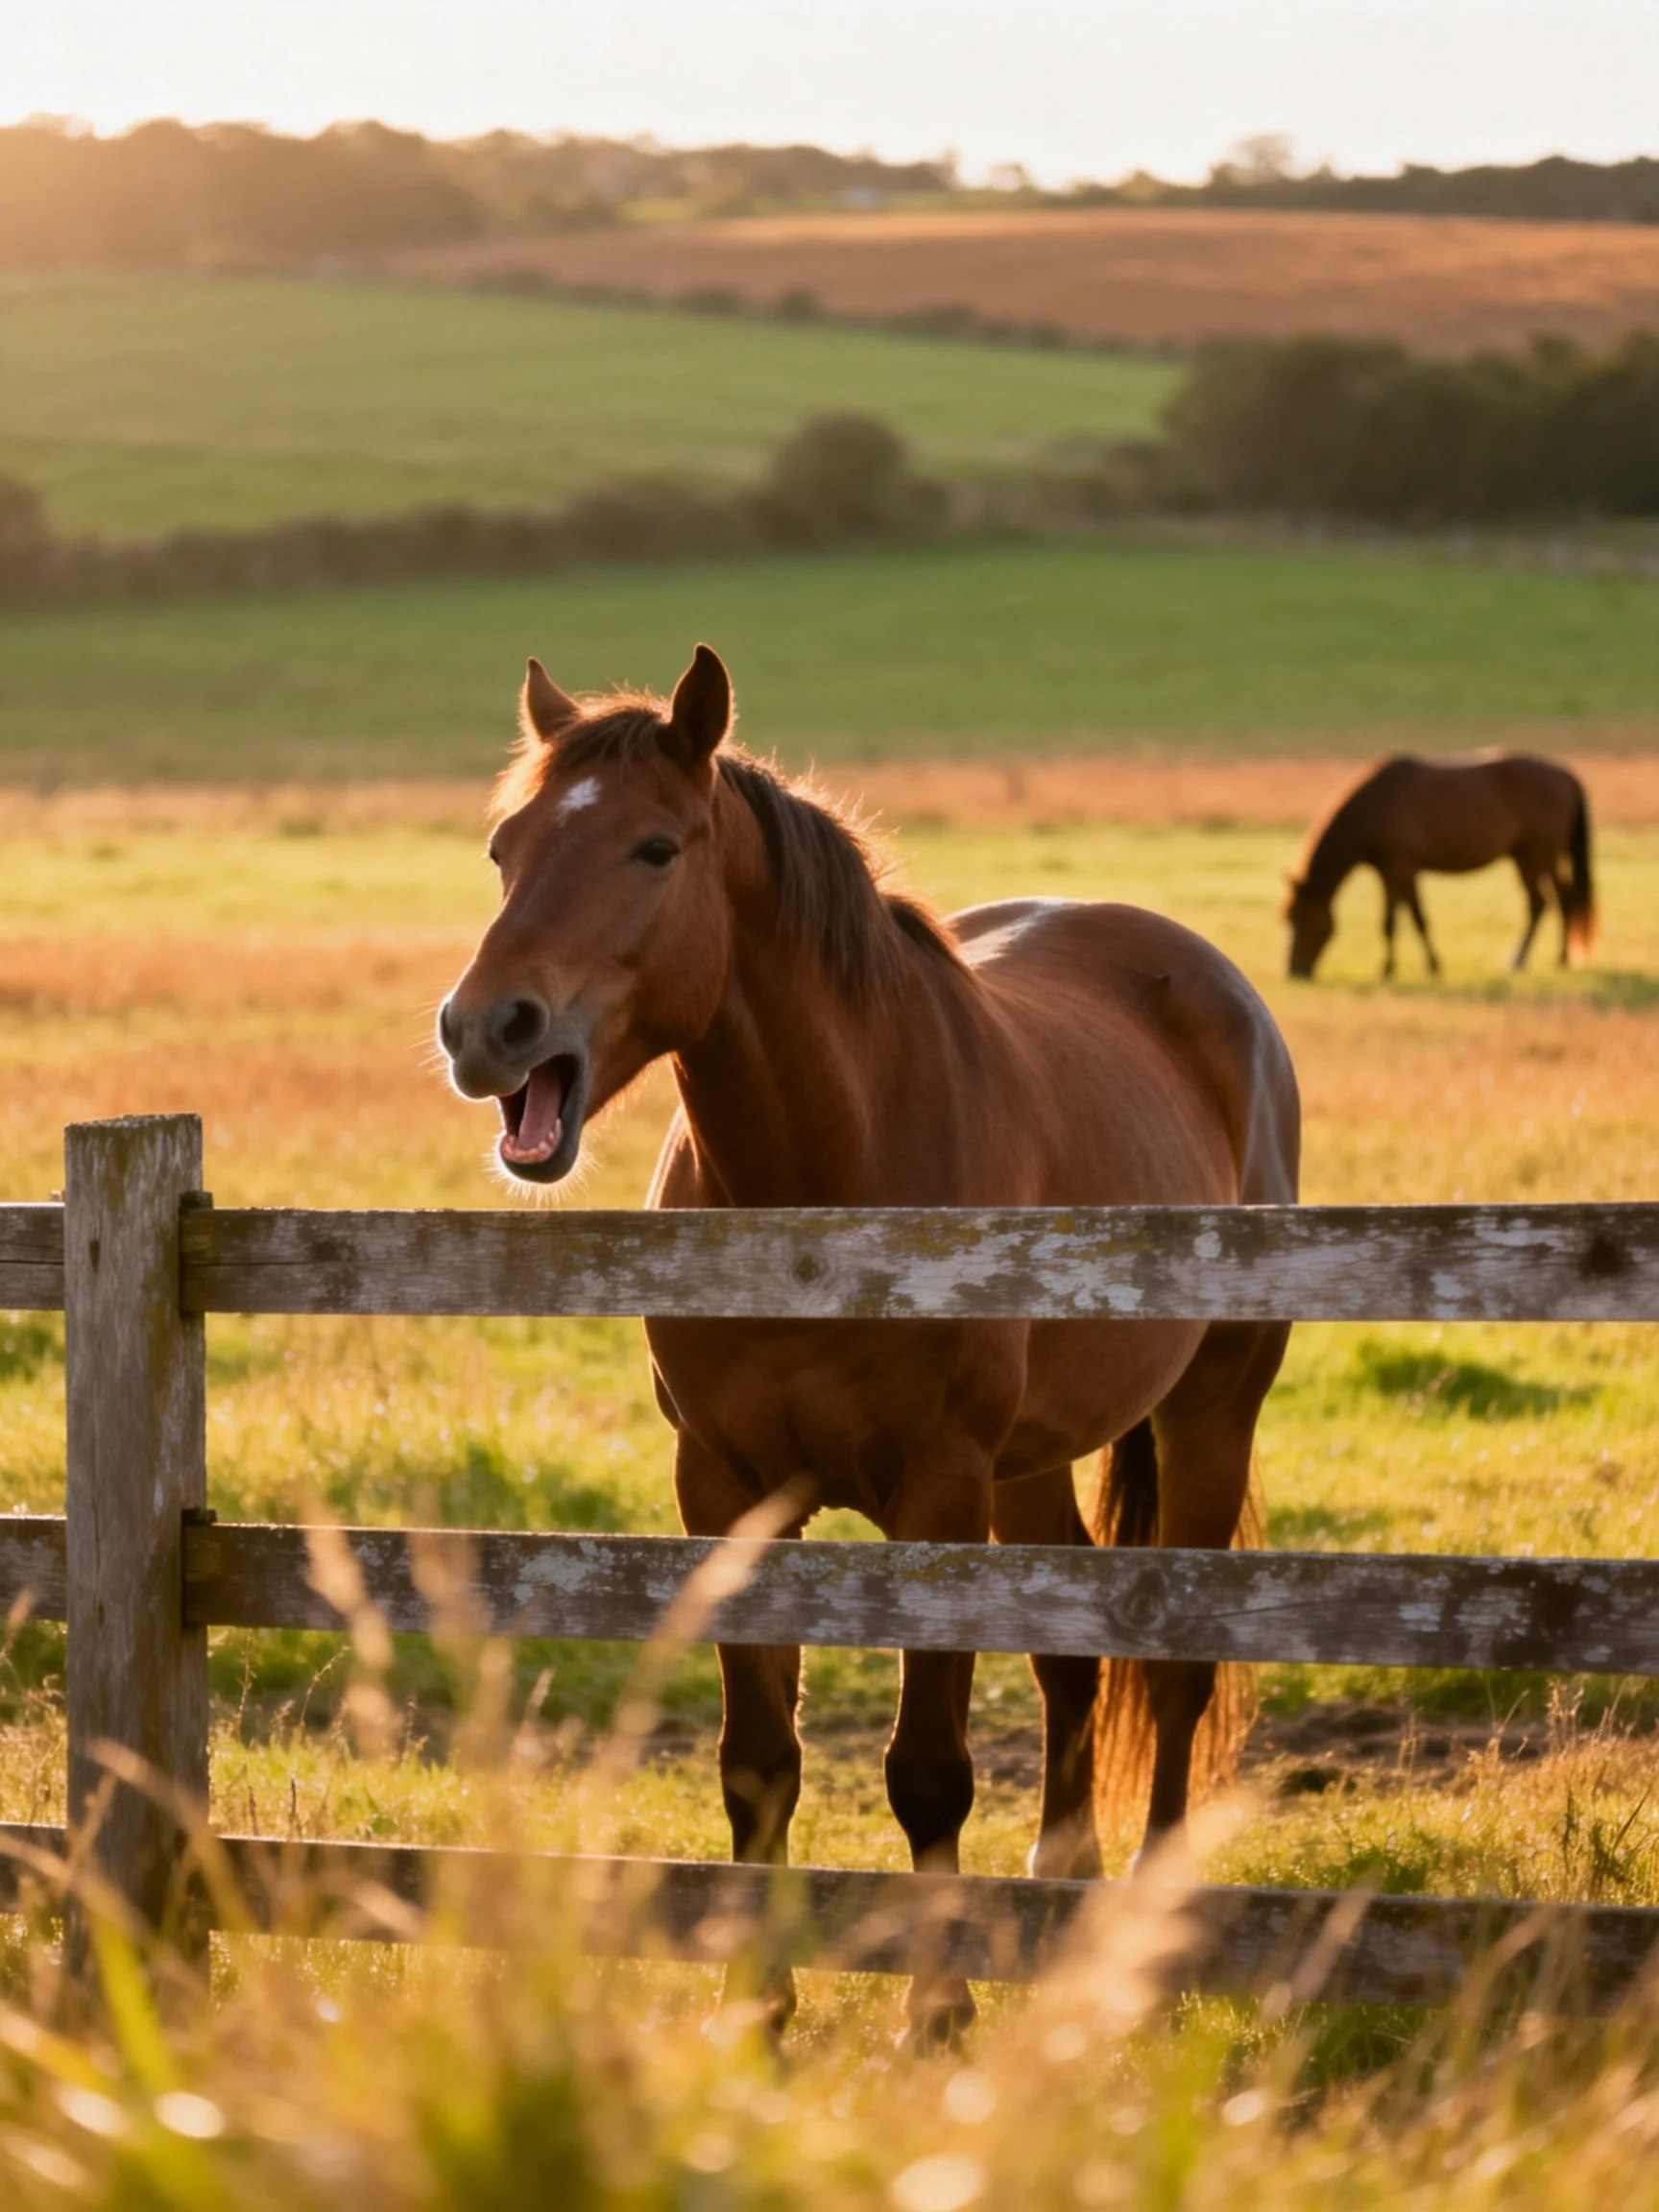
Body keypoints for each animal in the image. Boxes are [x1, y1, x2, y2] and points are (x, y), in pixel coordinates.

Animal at [438, 645, 1301, 2046]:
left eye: (654, 849)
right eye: (506, 849)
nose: (484, 1030)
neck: (826, 1187)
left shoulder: (936, 1490)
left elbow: (928, 1771)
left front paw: (937, 2012)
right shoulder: (726, 1488)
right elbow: (757, 1763)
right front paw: (755, 2002)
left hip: (1210, 1408)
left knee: (1174, 1669)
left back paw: (1143, 1934)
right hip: (1032, 1461)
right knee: (1070, 1655)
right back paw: (1057, 1891)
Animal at [1285, 752, 1595, 982]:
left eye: (1301, 918)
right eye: (1286, 918)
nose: (1293, 971)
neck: (1374, 807)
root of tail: (1567, 776)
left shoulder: (1402, 866)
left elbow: (1415, 918)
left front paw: (1428, 966)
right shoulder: (1388, 870)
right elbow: (1391, 922)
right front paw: (1389, 969)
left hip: (1544, 852)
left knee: (1565, 898)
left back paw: (1560, 958)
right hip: (1523, 855)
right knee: (1539, 903)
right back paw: (1519, 959)